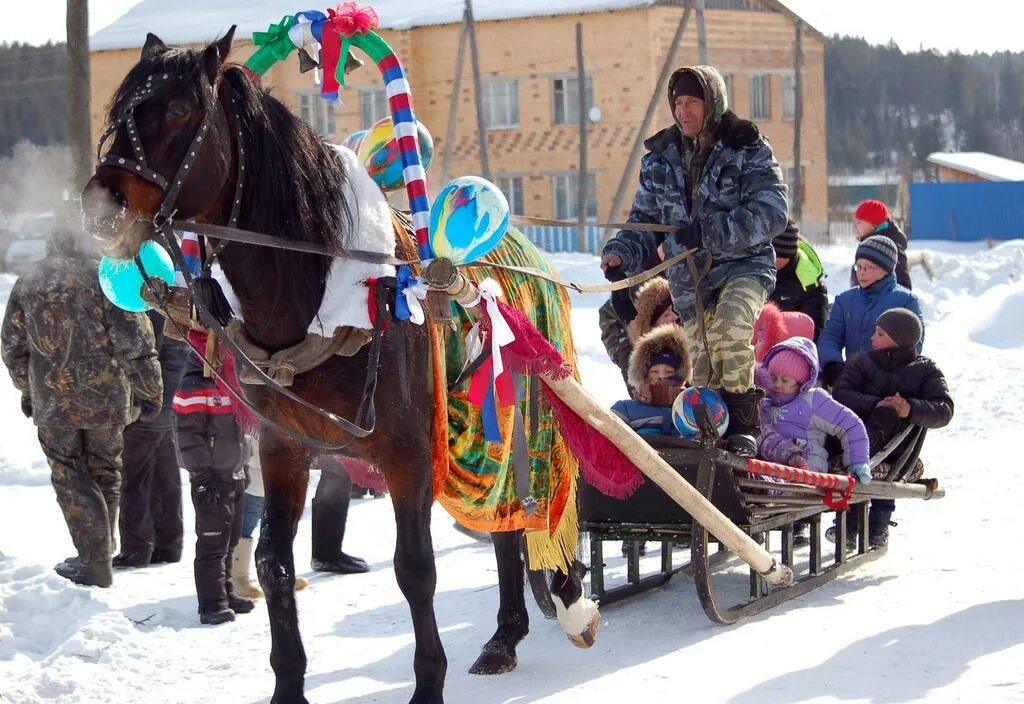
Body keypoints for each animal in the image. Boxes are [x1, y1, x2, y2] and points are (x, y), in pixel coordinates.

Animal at [87, 30, 598, 699]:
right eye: (118, 111)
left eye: (178, 109)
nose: (99, 208)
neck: (319, 298)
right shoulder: (282, 449)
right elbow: (274, 563)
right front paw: (287, 682)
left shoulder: (408, 457)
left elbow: (415, 569)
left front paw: (428, 683)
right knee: (504, 525)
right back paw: (505, 634)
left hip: (515, 420)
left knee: (521, 510)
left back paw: (563, 602)